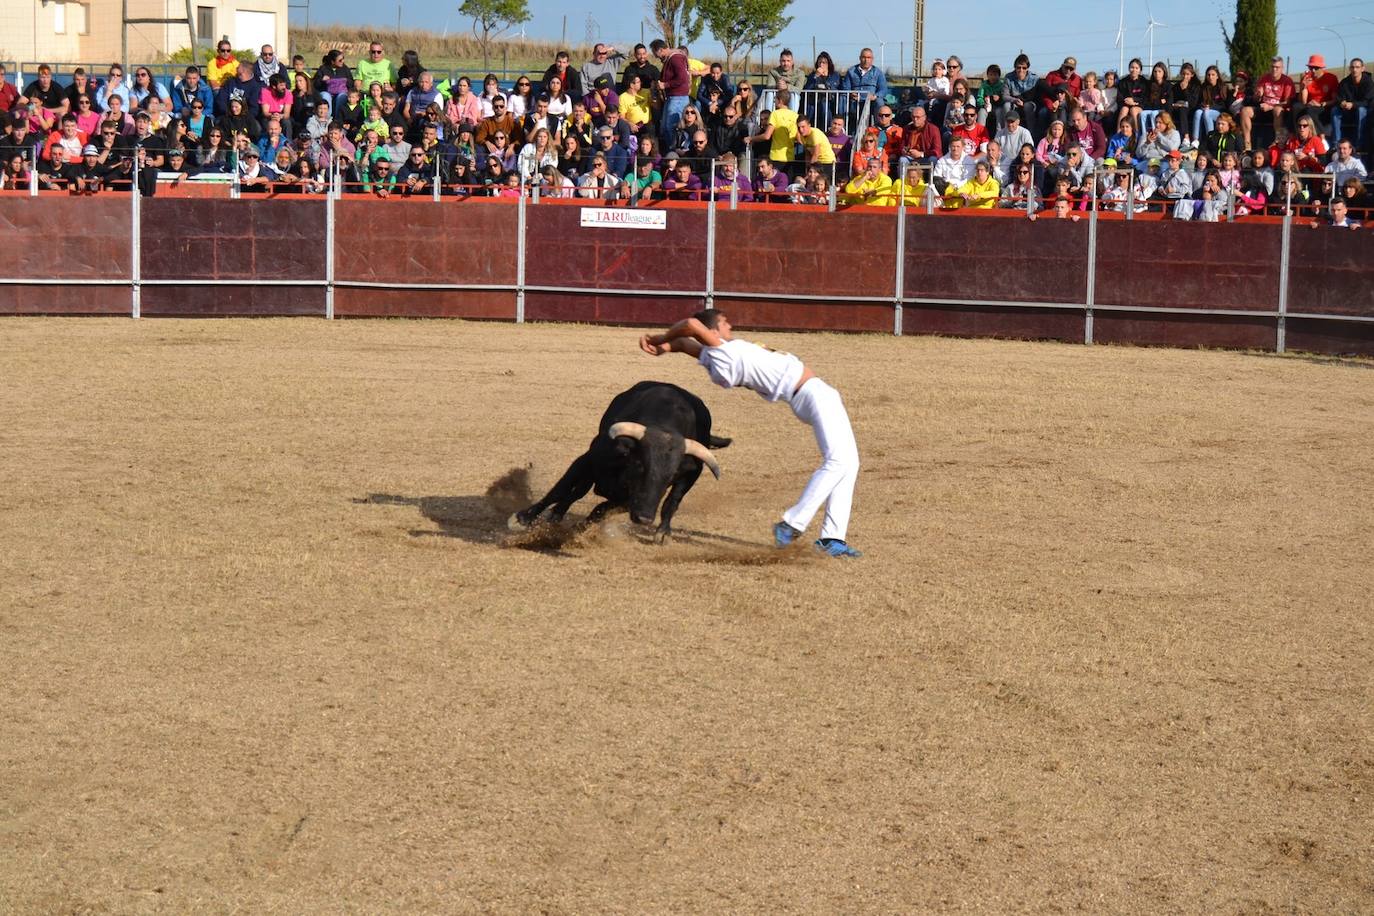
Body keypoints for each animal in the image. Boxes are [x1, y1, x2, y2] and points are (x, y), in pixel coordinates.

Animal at [513, 384, 730, 541]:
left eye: (671, 476)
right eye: (640, 464)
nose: (644, 518)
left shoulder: (631, 500)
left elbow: (602, 509)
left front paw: (580, 527)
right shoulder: (588, 460)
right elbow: (561, 488)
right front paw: (525, 517)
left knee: (672, 501)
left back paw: (662, 532)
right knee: (576, 491)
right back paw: (556, 514)